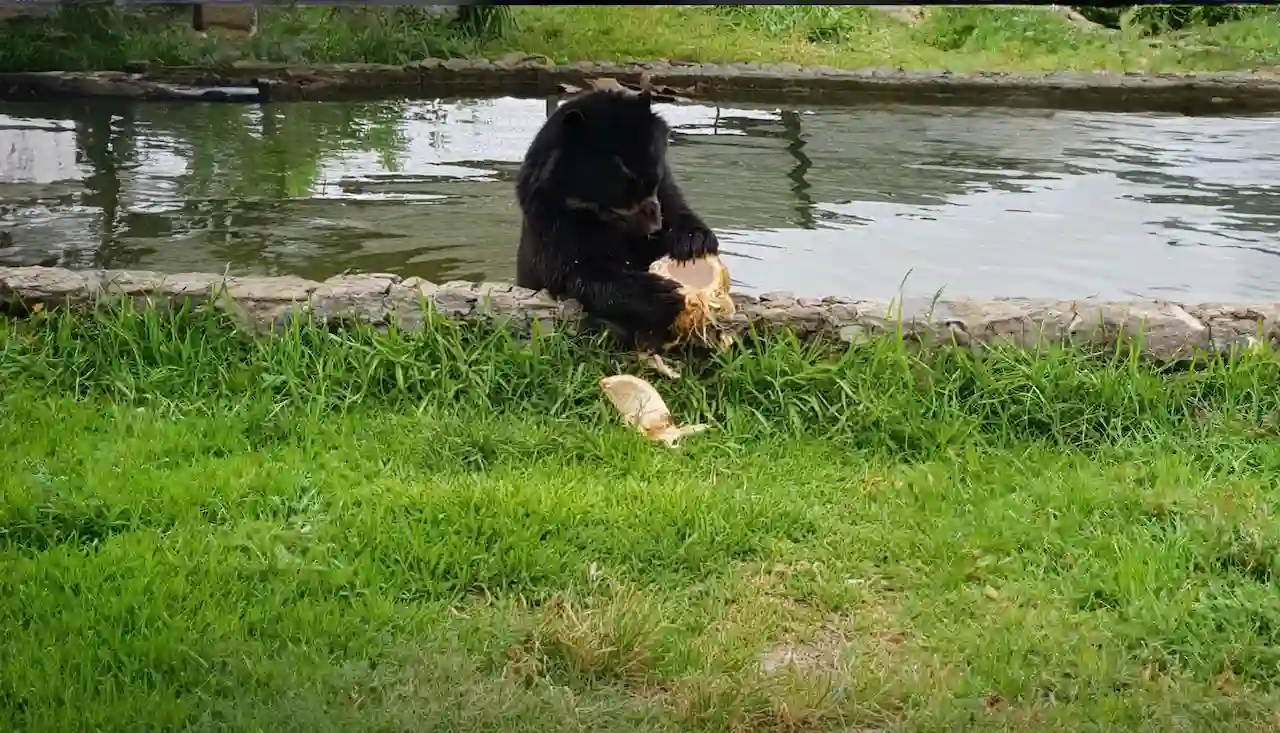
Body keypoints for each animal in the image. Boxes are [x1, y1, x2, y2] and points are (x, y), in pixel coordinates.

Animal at [514, 87, 720, 357]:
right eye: (624, 181)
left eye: (655, 173)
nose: (655, 227)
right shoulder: (553, 223)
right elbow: (584, 272)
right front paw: (661, 294)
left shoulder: (664, 190)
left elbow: (675, 208)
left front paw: (695, 241)